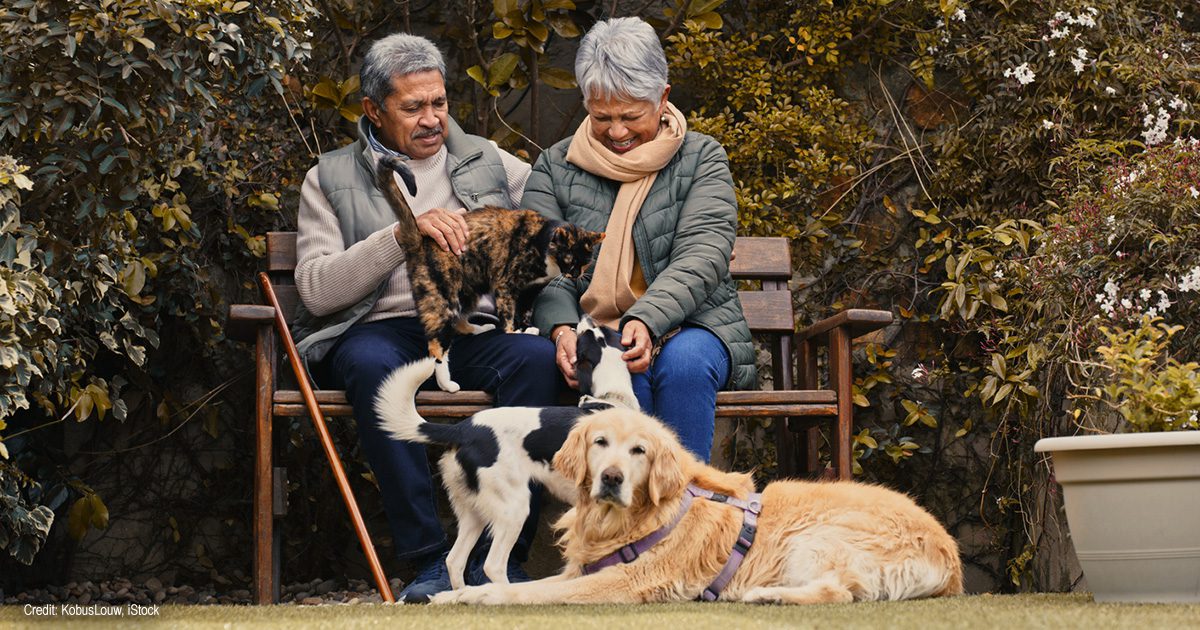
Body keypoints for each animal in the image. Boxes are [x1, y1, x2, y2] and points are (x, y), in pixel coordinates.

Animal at [374, 319, 638, 590]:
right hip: (514, 508)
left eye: (604, 333)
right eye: (589, 337)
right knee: (492, 565)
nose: (586, 318)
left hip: (473, 511)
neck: (613, 399)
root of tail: (462, 429)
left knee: (454, 561)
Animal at [379, 154, 604, 391]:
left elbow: (524, 313)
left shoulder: (531, 291)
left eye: (585, 262)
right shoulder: (505, 285)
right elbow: (508, 314)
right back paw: (447, 383)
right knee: (436, 347)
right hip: (443, 298)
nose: (575, 274)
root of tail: (419, 242)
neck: (542, 244)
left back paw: (481, 329)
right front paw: (513, 333)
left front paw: (526, 329)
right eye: (569, 259)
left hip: (469, 291)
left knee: (458, 323)